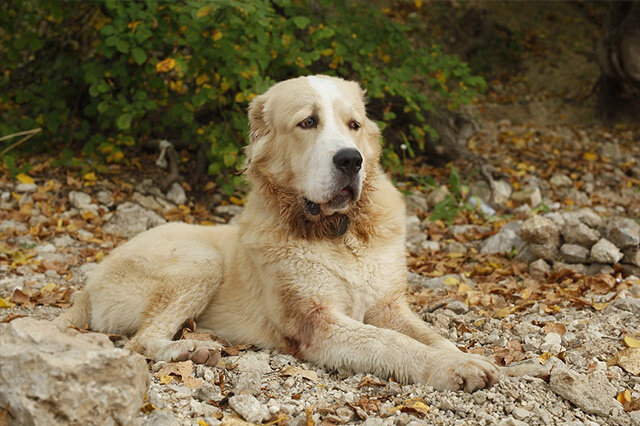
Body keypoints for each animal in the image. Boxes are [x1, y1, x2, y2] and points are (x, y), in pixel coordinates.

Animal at [55, 75, 500, 392]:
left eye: (354, 125)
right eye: (308, 122)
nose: (350, 160)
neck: (338, 233)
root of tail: (88, 287)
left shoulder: (389, 307)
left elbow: (430, 335)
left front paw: (467, 357)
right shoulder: (319, 323)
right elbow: (393, 343)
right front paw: (453, 368)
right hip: (201, 261)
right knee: (140, 342)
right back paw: (191, 349)